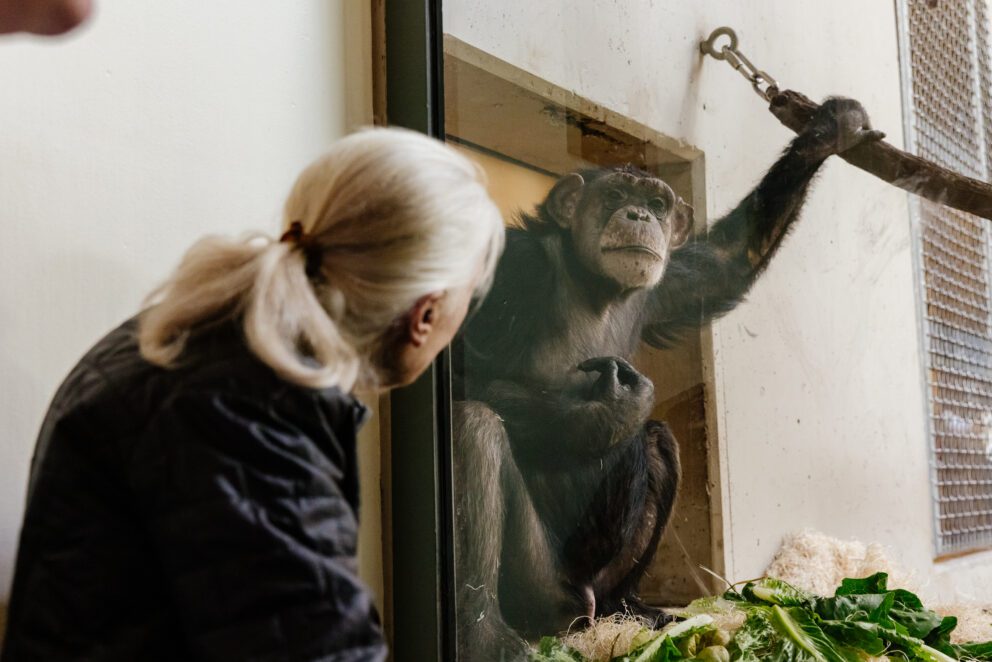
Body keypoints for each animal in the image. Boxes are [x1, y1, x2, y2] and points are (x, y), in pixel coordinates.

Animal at [451, 97, 884, 660]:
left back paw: (631, 608)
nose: (638, 215)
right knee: (474, 428)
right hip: (539, 585)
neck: (592, 284)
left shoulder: (665, 285)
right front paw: (609, 411)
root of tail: (579, 604)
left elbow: (726, 260)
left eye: (656, 204)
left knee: (659, 441)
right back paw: (485, 634)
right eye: (615, 194)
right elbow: (461, 372)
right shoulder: (516, 271)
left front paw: (831, 129)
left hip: (594, 583)